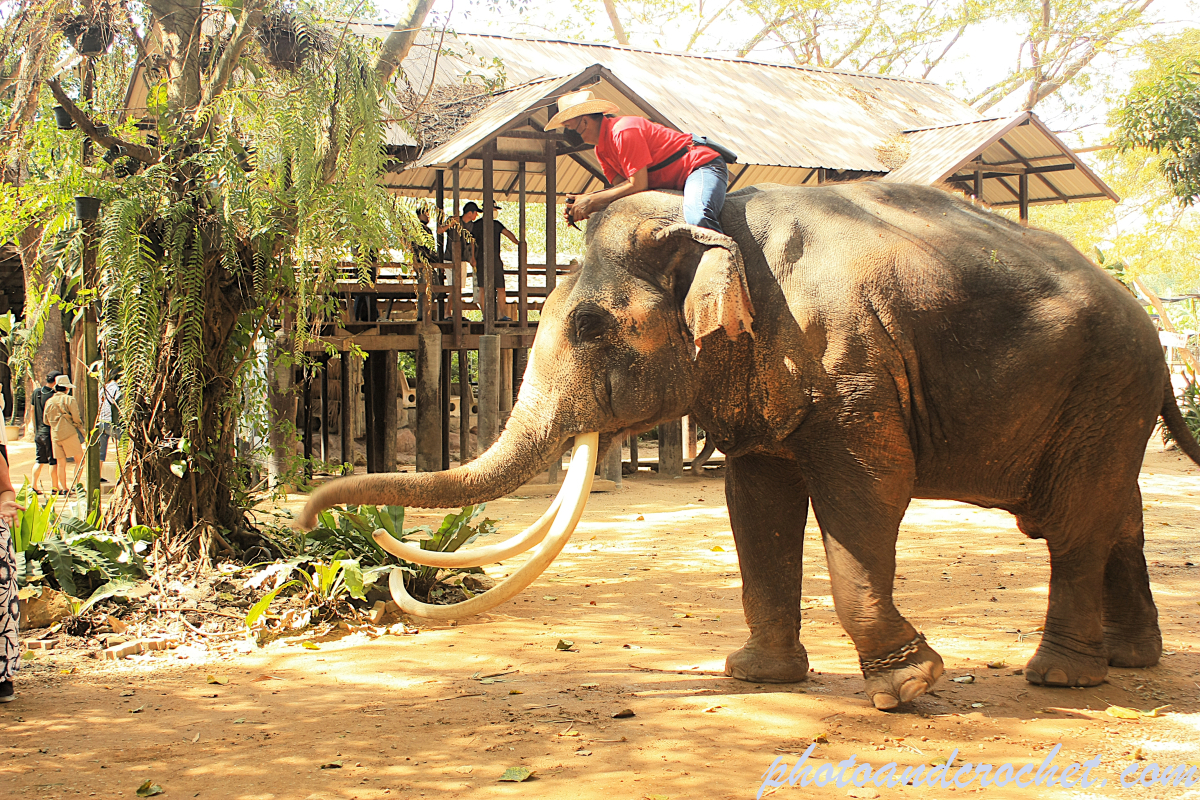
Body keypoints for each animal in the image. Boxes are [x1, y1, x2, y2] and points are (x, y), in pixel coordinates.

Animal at [300, 182, 1200, 711]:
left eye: (589, 327)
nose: (311, 516)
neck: (715, 226)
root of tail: (1147, 320)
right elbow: (756, 498)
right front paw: (755, 676)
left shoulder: (853, 366)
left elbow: (868, 493)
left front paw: (908, 686)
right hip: (1107, 401)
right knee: (1116, 516)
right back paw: (1129, 661)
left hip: (1105, 384)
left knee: (1074, 525)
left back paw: (1063, 678)